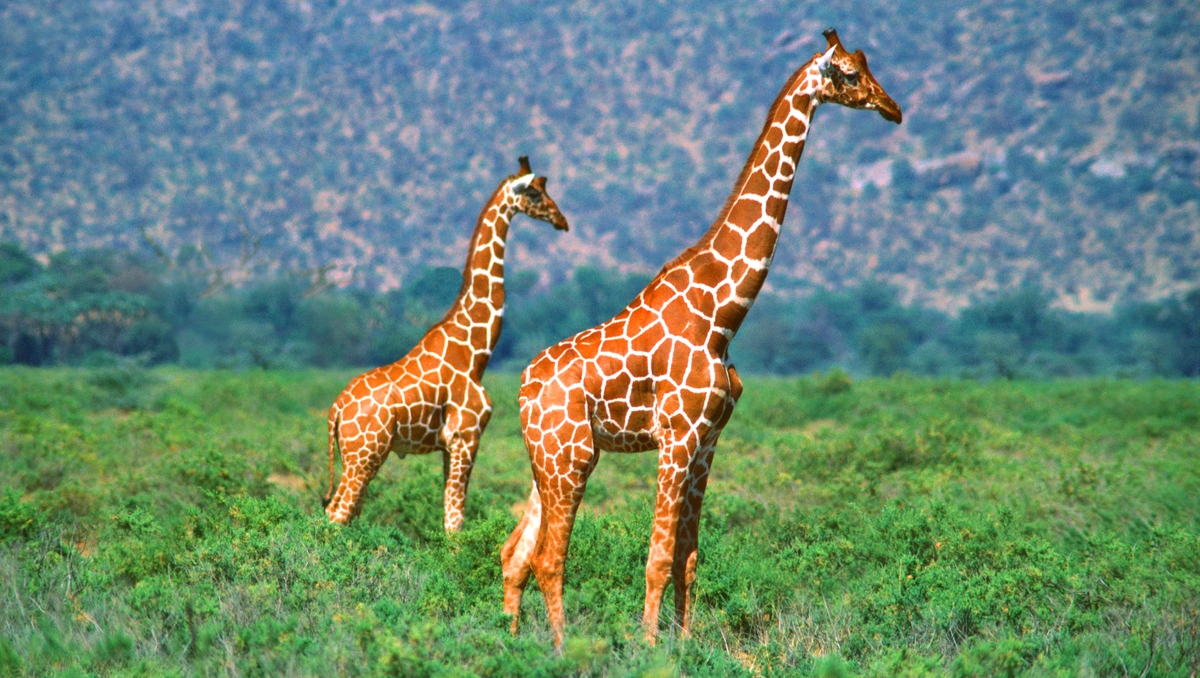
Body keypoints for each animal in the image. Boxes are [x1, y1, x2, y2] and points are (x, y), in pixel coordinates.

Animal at [323, 155, 569, 530]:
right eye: (536, 194)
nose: (562, 221)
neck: (475, 351)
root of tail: (336, 410)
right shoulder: (466, 437)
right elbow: (455, 522)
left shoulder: (447, 447)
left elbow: (448, 515)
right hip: (364, 455)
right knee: (337, 514)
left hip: (360, 456)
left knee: (336, 512)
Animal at [500, 29, 902, 648]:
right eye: (852, 75)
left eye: (869, 67)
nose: (893, 108)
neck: (722, 313)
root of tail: (522, 389)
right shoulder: (677, 438)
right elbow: (657, 558)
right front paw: (649, 649)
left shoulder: (710, 441)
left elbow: (688, 558)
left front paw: (687, 645)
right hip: (572, 458)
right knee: (549, 558)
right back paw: (562, 650)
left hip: (544, 459)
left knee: (515, 554)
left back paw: (512, 641)